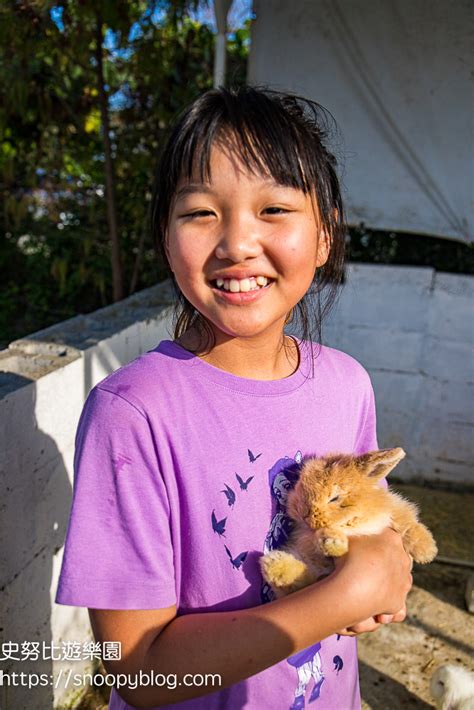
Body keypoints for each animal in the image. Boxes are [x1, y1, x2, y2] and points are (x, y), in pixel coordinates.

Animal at [260, 448, 436, 596]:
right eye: (300, 486)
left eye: (335, 498)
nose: (303, 513)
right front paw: (331, 542)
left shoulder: (391, 508)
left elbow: (407, 523)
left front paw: (427, 552)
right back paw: (276, 565)